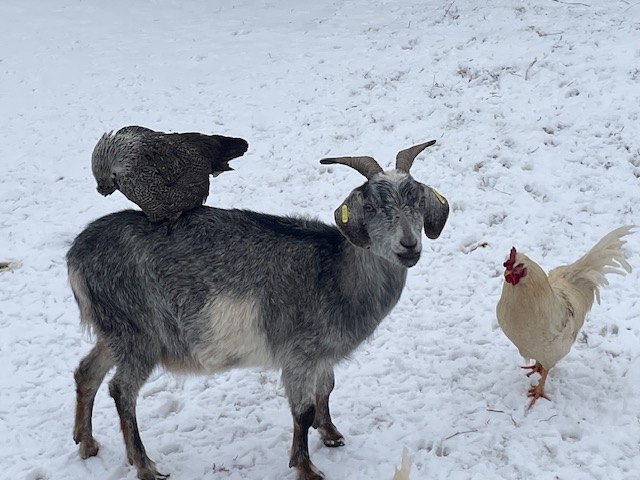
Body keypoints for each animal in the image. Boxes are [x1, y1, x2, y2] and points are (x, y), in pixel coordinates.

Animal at [67, 140, 449, 480]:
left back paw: (86, 443)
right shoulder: (298, 353)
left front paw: (331, 434)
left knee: (87, 371)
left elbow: (326, 388)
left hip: (113, 331)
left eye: (419, 200)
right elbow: (303, 411)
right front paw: (307, 468)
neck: (337, 273)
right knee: (121, 390)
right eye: (369, 207)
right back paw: (145, 465)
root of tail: (76, 256)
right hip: (138, 334)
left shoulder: (321, 353)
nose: (408, 246)